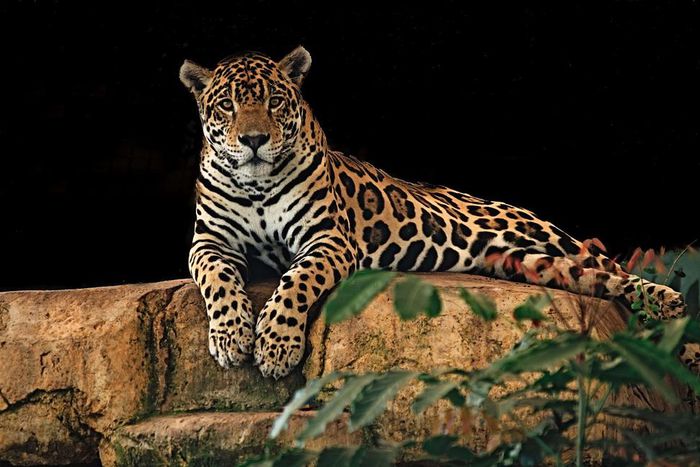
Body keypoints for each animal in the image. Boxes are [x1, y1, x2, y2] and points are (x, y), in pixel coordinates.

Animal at [180, 46, 691, 380]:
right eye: (226, 106)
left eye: (274, 101)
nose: (253, 140)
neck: (256, 184)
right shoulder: (210, 241)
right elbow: (216, 278)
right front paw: (231, 337)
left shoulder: (327, 239)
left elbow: (296, 282)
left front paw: (275, 345)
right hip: (530, 264)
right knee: (596, 279)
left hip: (544, 233)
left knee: (612, 267)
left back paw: (671, 310)